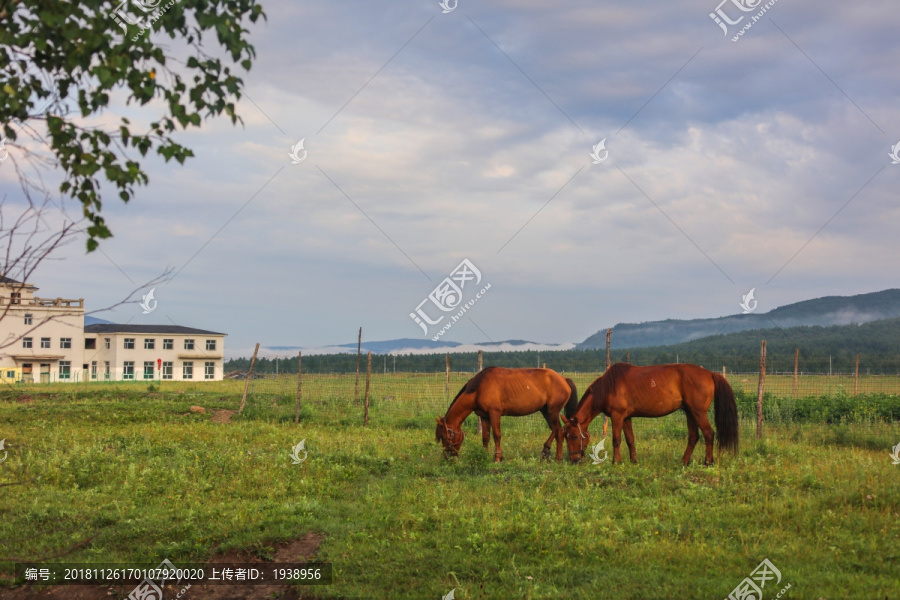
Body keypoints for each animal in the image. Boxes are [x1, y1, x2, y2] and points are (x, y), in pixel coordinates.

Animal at [434, 368, 576, 462]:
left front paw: (498, 457)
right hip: (546, 411)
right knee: (556, 430)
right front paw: (484, 455)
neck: (479, 388)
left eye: (445, 437)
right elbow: (485, 437)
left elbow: (497, 435)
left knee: (559, 430)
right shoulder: (484, 416)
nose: (447, 457)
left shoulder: (494, 413)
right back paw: (549, 452)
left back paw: (556, 456)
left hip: (552, 411)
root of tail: (564, 379)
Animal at [564, 364, 740, 466]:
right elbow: (630, 439)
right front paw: (633, 461)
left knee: (709, 434)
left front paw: (616, 462)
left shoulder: (617, 416)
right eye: (565, 437)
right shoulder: (626, 418)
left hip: (698, 413)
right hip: (690, 413)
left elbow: (616, 440)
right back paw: (684, 462)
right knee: (693, 437)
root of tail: (710, 373)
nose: (573, 460)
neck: (608, 386)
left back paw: (708, 462)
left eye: (574, 436)